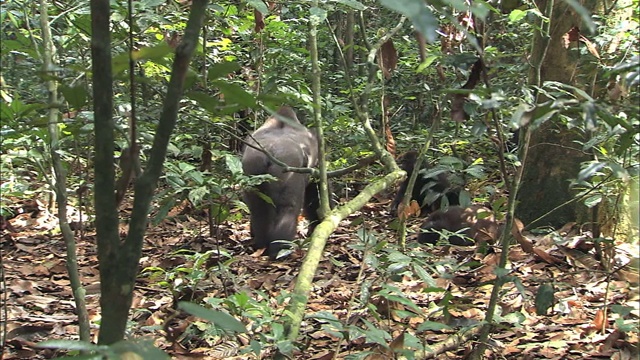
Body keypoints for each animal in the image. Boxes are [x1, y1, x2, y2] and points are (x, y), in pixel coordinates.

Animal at [240, 106, 320, 258]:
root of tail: (269, 151)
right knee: (288, 208)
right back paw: (281, 248)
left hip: (253, 166)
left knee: (258, 208)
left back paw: (261, 243)